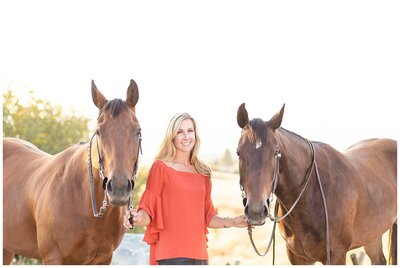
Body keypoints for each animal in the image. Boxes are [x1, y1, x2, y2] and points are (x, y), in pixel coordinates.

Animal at [236, 103, 396, 264]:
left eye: (275, 153)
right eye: (238, 152)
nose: (256, 211)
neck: (310, 194)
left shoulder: (337, 254)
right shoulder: (298, 257)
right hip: (372, 234)